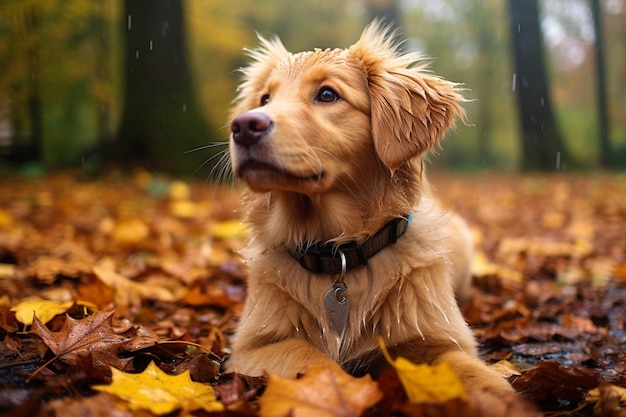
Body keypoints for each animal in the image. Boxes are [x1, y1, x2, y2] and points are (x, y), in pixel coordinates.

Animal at [224, 22, 512, 396]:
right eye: (265, 99)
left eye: (327, 94)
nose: (243, 126)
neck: (337, 255)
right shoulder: (252, 347)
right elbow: (312, 359)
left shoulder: (439, 340)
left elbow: (474, 373)